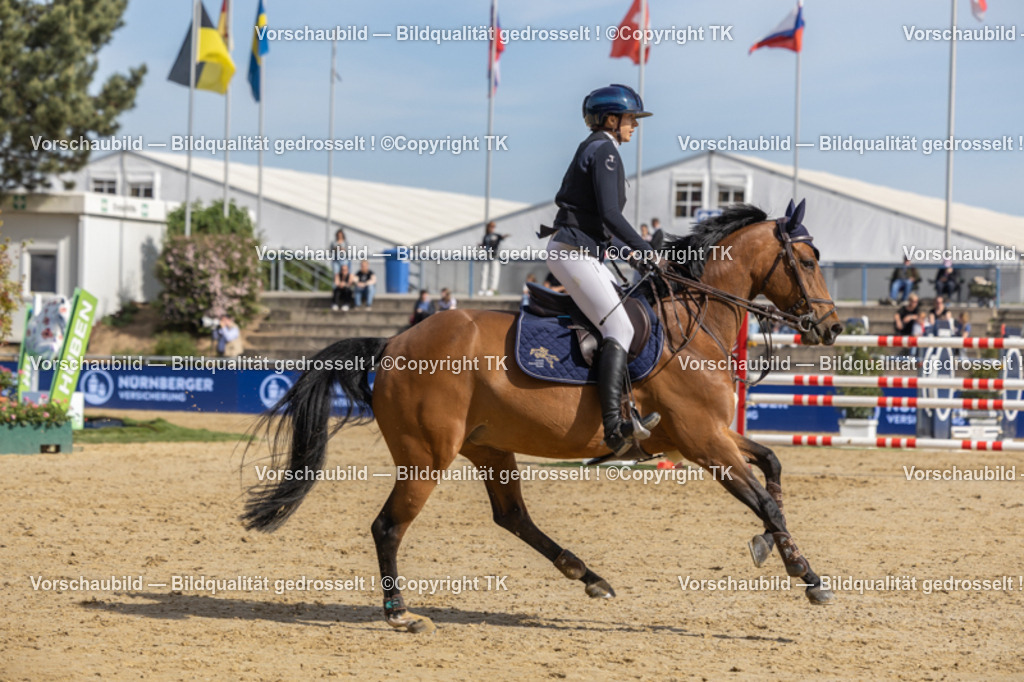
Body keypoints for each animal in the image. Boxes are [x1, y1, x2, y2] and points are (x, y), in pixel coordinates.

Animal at [242, 202, 844, 634]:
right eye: (807, 262)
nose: (832, 328)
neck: (691, 325)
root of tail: (392, 343)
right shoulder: (702, 441)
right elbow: (764, 497)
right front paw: (806, 574)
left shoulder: (707, 436)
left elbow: (771, 468)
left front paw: (774, 545)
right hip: (426, 457)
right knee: (388, 526)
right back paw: (400, 613)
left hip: (488, 446)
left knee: (512, 517)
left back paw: (589, 576)